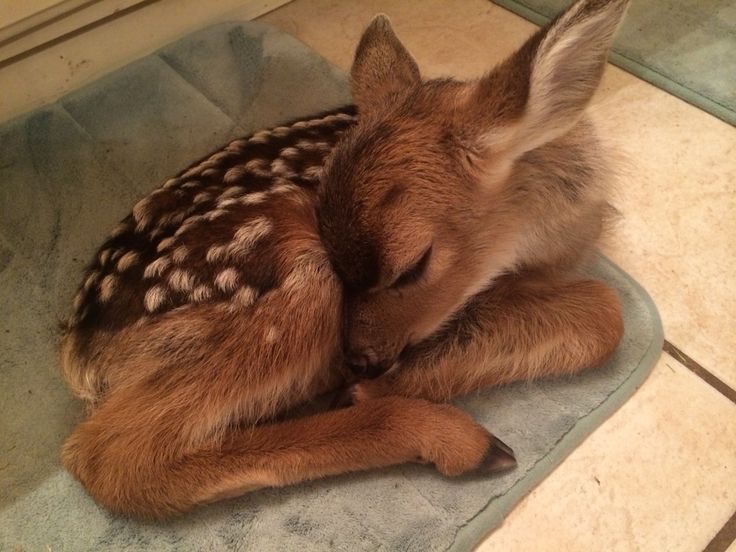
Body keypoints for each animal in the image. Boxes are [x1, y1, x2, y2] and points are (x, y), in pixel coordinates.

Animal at [59, 0, 629, 519]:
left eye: (412, 267)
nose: (359, 360)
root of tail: (81, 348)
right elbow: (608, 309)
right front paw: (373, 388)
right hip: (291, 284)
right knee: (111, 459)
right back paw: (455, 439)